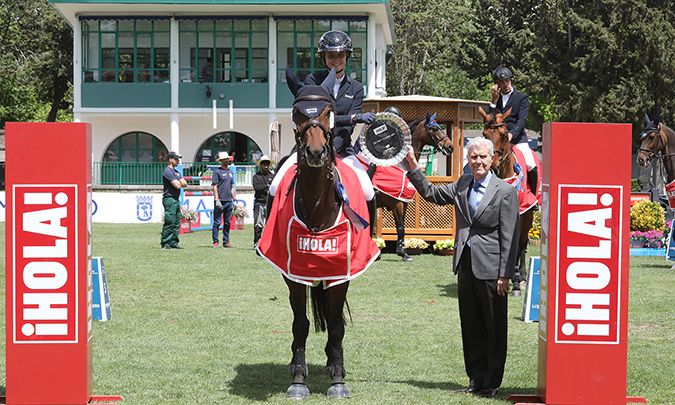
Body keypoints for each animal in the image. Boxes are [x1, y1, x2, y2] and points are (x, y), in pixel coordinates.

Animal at [258, 68, 378, 398]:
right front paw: (298, 379)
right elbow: (300, 323)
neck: (315, 203)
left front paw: (338, 379)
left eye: (328, 111)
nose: (315, 152)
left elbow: (336, 325)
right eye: (298, 112)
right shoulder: (293, 272)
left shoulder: (340, 273)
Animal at [370, 112, 454, 260]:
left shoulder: (403, 203)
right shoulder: (397, 203)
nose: (450, 147)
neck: (401, 167)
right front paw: (402, 253)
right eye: (435, 129)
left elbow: (401, 227)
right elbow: (400, 228)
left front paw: (402, 251)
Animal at [480, 105, 540, 296]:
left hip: (528, 215)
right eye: (484, 134)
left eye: (504, 134)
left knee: (522, 243)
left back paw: (521, 277)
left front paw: (516, 283)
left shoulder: (519, 213)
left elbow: (515, 244)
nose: (493, 165)